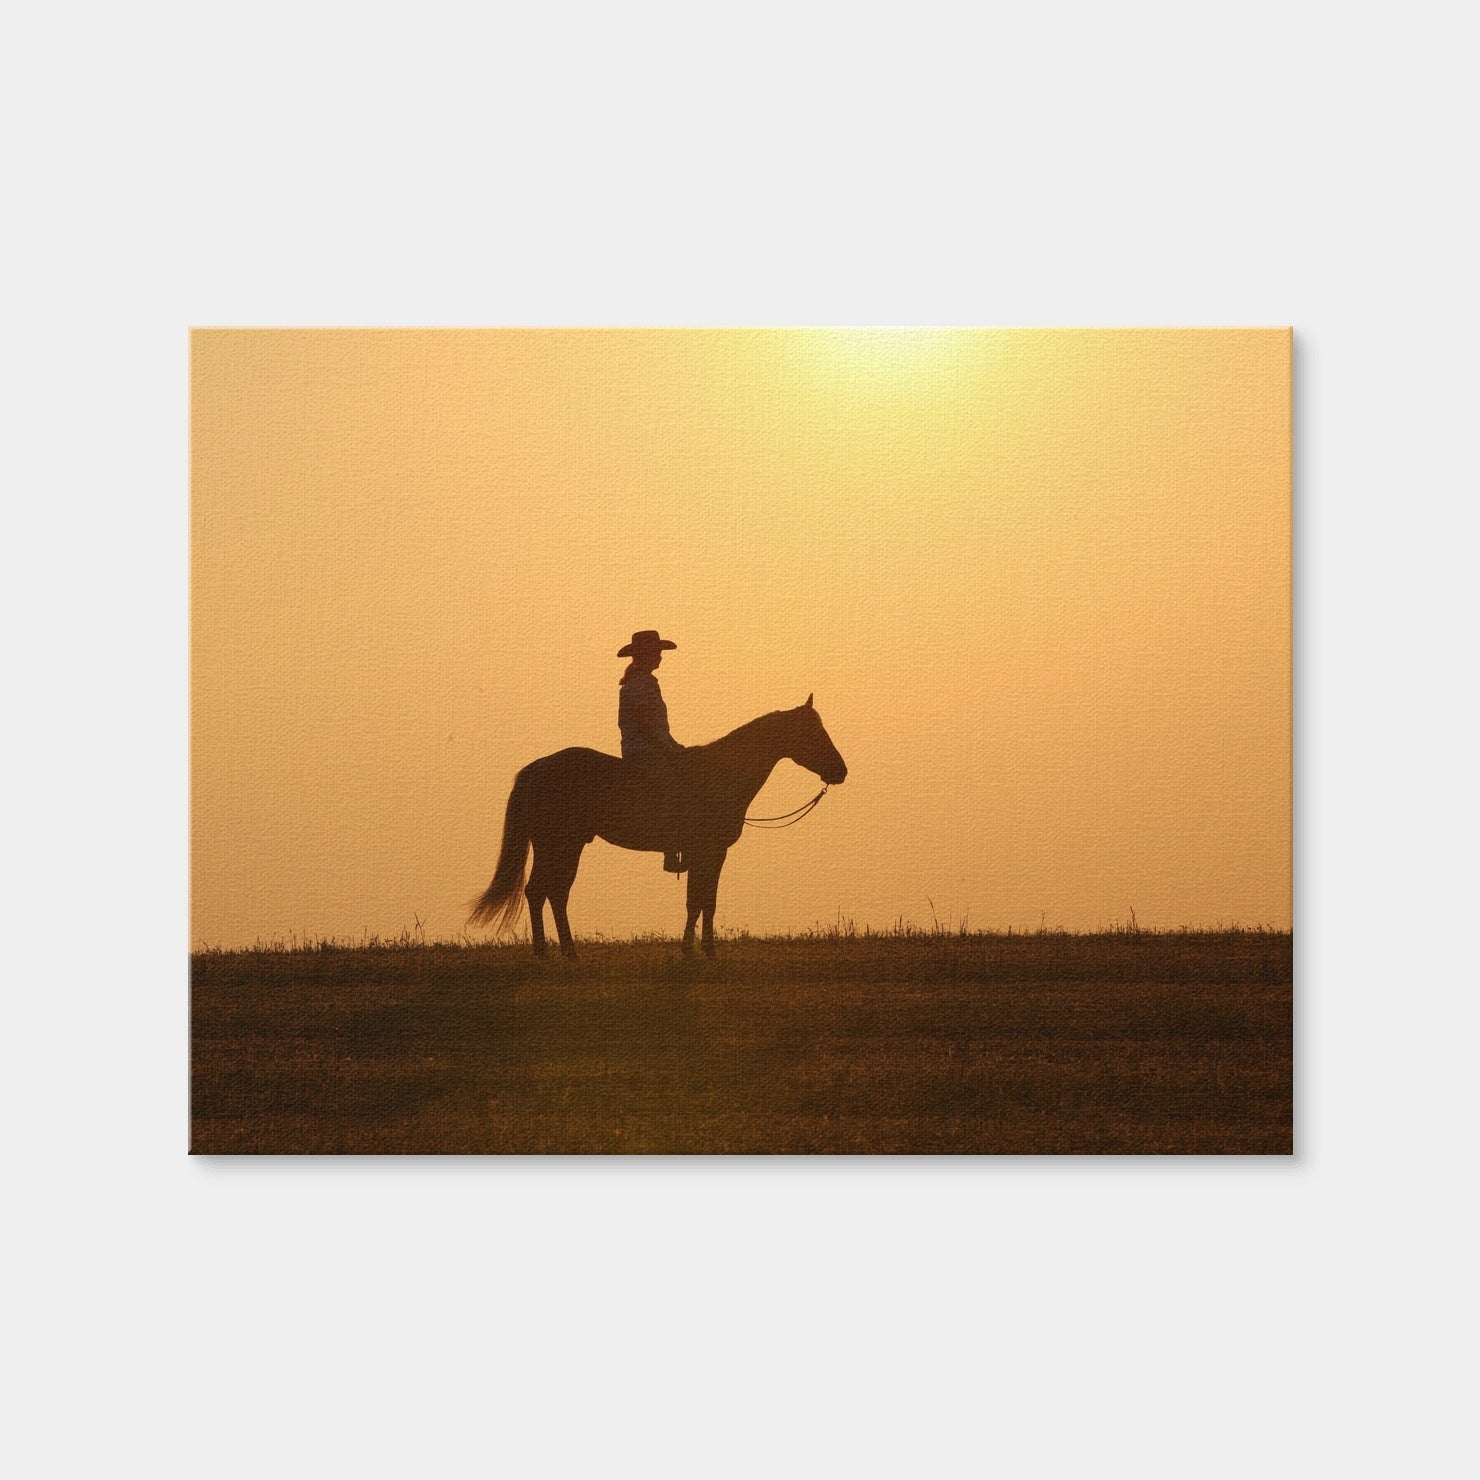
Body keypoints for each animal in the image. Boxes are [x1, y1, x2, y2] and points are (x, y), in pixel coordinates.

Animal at [469, 695, 847, 958]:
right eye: (813, 732)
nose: (840, 771)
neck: (719, 775)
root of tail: (534, 770)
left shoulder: (706, 854)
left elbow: (701, 900)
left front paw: (695, 948)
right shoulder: (710, 851)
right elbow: (701, 901)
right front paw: (701, 950)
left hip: (563, 846)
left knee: (552, 893)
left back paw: (565, 952)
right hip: (559, 845)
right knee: (542, 891)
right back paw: (549, 952)